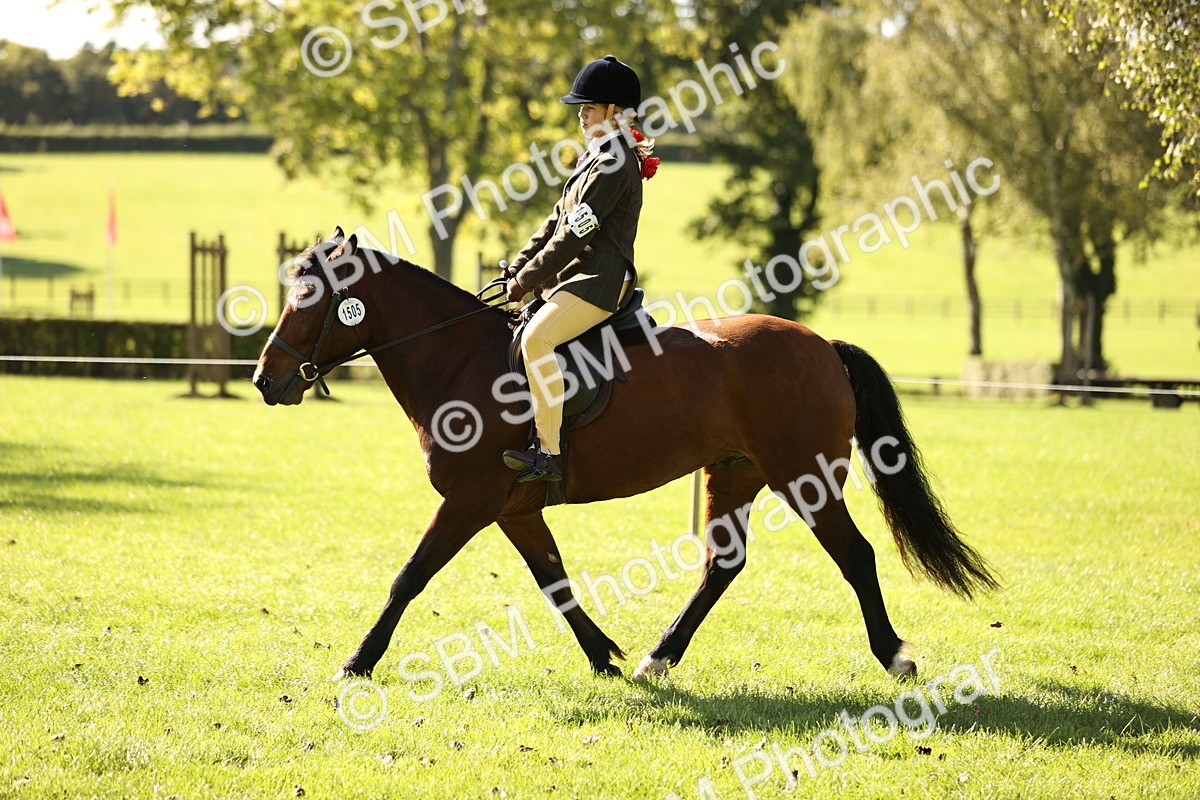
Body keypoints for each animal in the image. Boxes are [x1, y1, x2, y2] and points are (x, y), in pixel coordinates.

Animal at [252, 228, 998, 683]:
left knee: (855, 555)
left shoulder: (469, 501)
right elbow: (554, 581)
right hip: (734, 475)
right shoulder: (513, 509)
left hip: (804, 477)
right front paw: (602, 656)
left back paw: (894, 657)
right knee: (723, 566)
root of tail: (821, 345)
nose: (265, 379)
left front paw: (358, 661)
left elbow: (408, 577)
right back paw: (657, 658)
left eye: (309, 299)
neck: (459, 359)